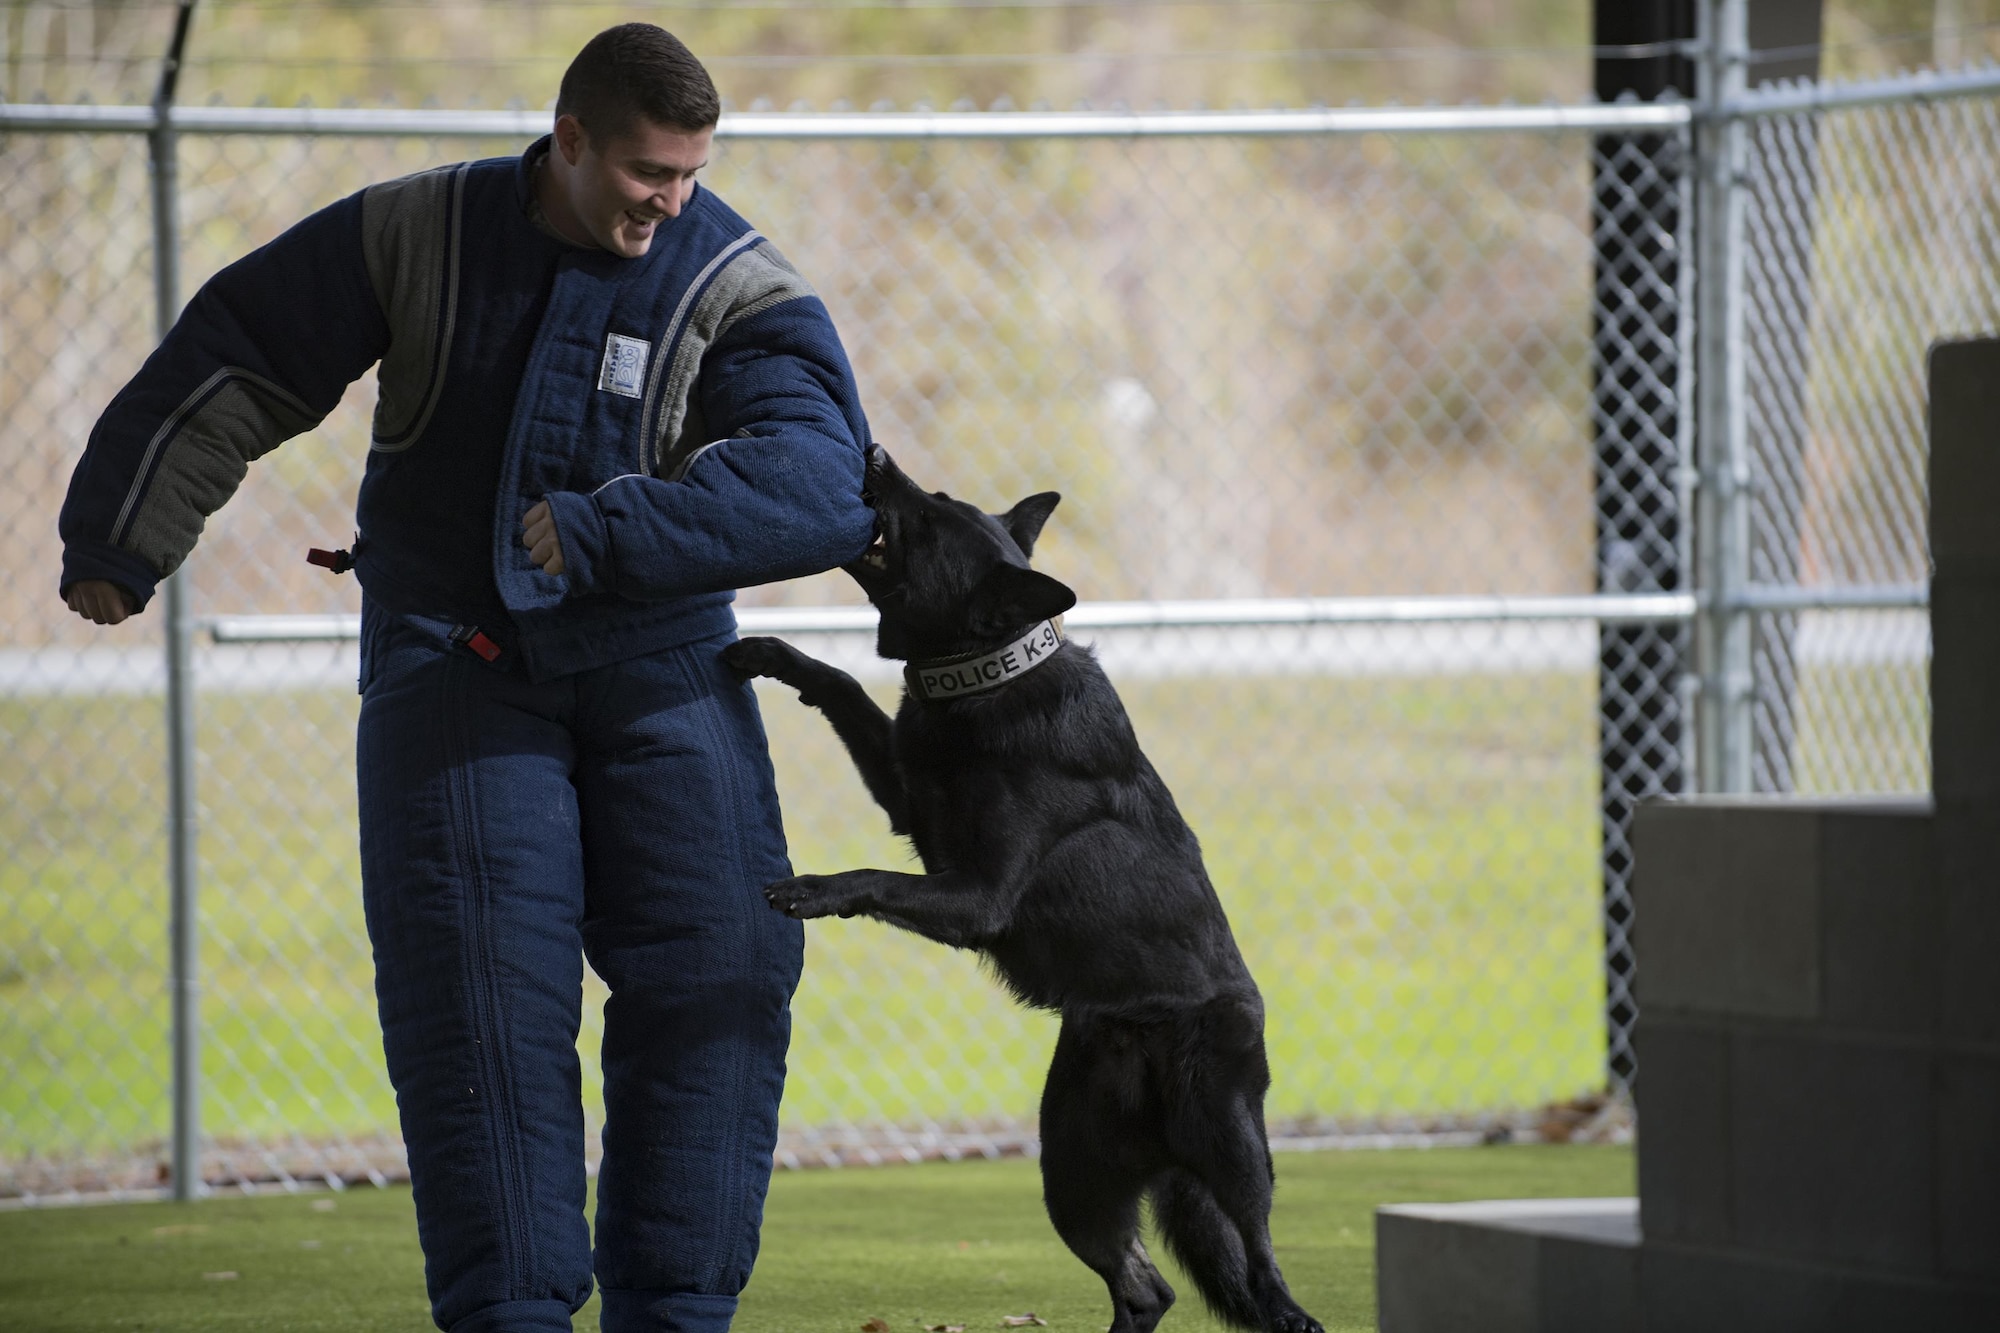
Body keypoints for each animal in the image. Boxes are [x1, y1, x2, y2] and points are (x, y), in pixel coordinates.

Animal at [728, 446, 1320, 1328]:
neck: (985, 679)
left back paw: (1286, 1306)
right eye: (936, 495)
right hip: (1072, 1175)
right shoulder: (910, 801)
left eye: (929, 517)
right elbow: (842, 683)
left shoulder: (976, 894)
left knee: (1257, 1250)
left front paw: (811, 887)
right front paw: (773, 654)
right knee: (1147, 1286)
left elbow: (874, 877)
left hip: (1225, 1137)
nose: (874, 452)